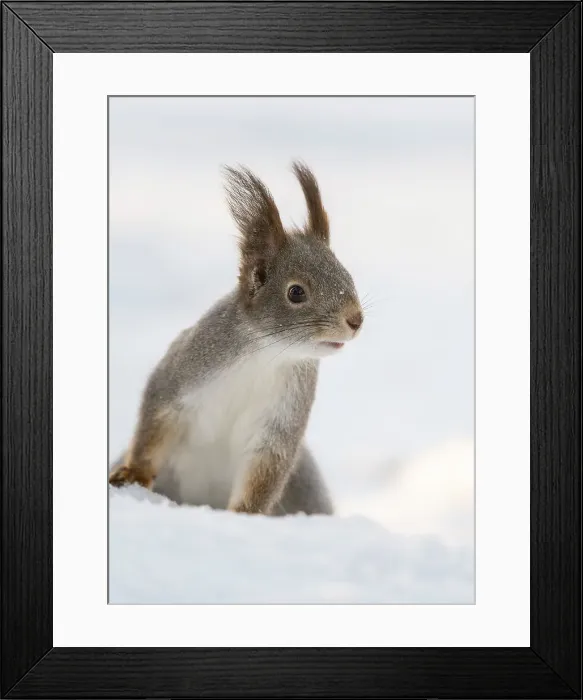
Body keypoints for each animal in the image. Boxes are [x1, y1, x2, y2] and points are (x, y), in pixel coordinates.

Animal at [109, 162, 364, 516]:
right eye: (296, 292)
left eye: (348, 276)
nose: (356, 320)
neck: (265, 354)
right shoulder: (181, 374)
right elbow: (153, 424)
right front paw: (133, 474)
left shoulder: (279, 422)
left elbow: (264, 472)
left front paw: (243, 517)